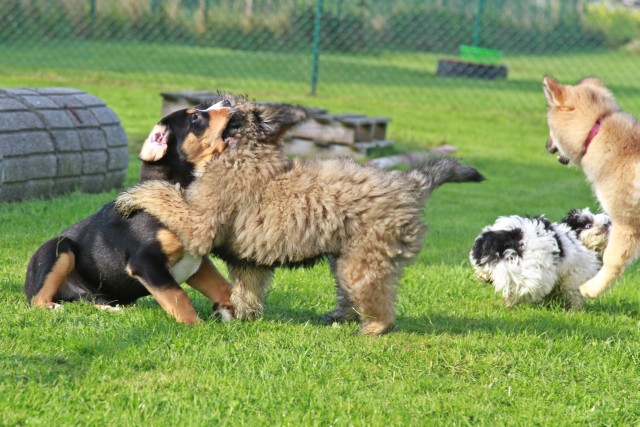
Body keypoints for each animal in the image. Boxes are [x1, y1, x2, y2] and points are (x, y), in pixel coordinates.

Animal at [24, 101, 239, 324]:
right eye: (194, 117)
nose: (227, 102)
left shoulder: (196, 259)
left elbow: (221, 285)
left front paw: (232, 310)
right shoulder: (145, 261)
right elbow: (177, 295)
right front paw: (196, 325)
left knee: (88, 300)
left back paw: (112, 310)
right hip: (58, 249)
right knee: (38, 299)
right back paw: (52, 307)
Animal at [115, 95, 485, 335]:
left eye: (204, 115)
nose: (222, 103)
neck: (244, 149)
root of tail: (410, 184)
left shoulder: (199, 222)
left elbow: (169, 198)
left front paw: (136, 195)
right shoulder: (249, 262)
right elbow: (245, 291)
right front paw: (242, 316)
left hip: (362, 263)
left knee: (381, 304)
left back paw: (370, 330)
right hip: (347, 259)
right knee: (350, 295)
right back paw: (337, 319)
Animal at [470, 208, 610, 309]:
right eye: (588, 225)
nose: (607, 223)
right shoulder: (576, 275)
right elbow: (574, 292)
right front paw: (576, 310)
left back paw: (486, 277)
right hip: (532, 272)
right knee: (520, 287)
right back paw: (511, 301)